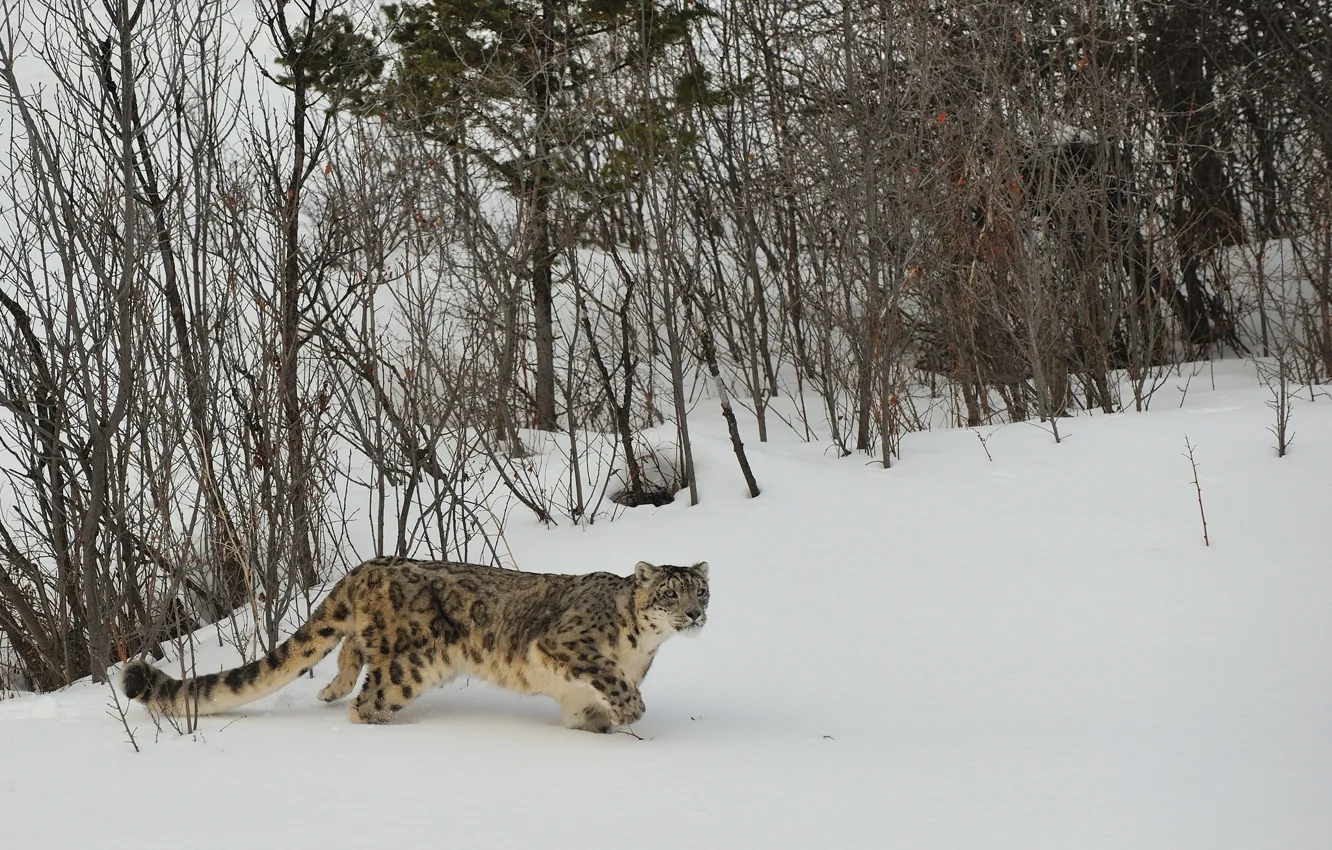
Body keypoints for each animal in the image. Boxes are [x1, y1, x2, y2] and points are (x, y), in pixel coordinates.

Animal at [120, 557, 709, 732]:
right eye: (670, 592)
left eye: (701, 589)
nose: (696, 614)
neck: (644, 648)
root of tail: (364, 567)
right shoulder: (571, 644)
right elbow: (608, 675)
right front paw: (631, 709)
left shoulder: (577, 695)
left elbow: (588, 712)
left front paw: (608, 729)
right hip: (411, 664)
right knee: (367, 696)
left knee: (347, 652)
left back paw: (329, 689)